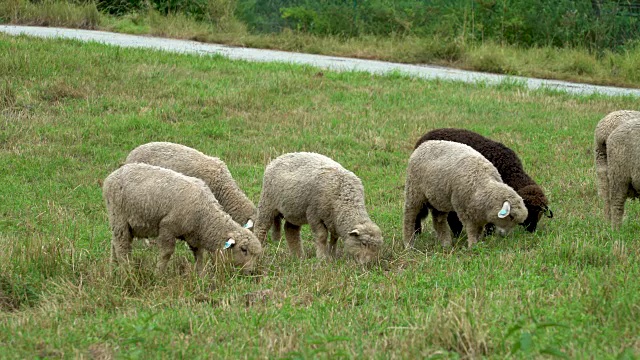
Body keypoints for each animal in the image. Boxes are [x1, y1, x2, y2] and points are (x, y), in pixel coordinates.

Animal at [101, 162, 262, 274]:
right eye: (243, 249)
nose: (251, 272)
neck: (204, 215)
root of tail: (112, 175)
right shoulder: (167, 227)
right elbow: (166, 253)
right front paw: (158, 274)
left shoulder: (194, 236)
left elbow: (199, 256)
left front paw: (200, 276)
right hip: (118, 215)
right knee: (122, 245)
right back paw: (128, 272)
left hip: (125, 224)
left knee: (115, 242)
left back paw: (112, 269)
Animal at [251, 152, 382, 264]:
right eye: (363, 243)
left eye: (377, 247)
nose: (368, 264)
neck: (344, 198)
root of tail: (278, 158)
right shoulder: (314, 214)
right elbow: (322, 236)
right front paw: (322, 259)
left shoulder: (334, 220)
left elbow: (334, 238)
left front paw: (332, 256)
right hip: (267, 202)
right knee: (261, 228)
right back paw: (260, 254)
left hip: (293, 210)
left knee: (290, 230)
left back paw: (298, 257)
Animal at [412, 129, 552, 236]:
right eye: (530, 209)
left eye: (540, 212)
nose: (531, 230)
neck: (510, 172)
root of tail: (421, 140)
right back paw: (418, 233)